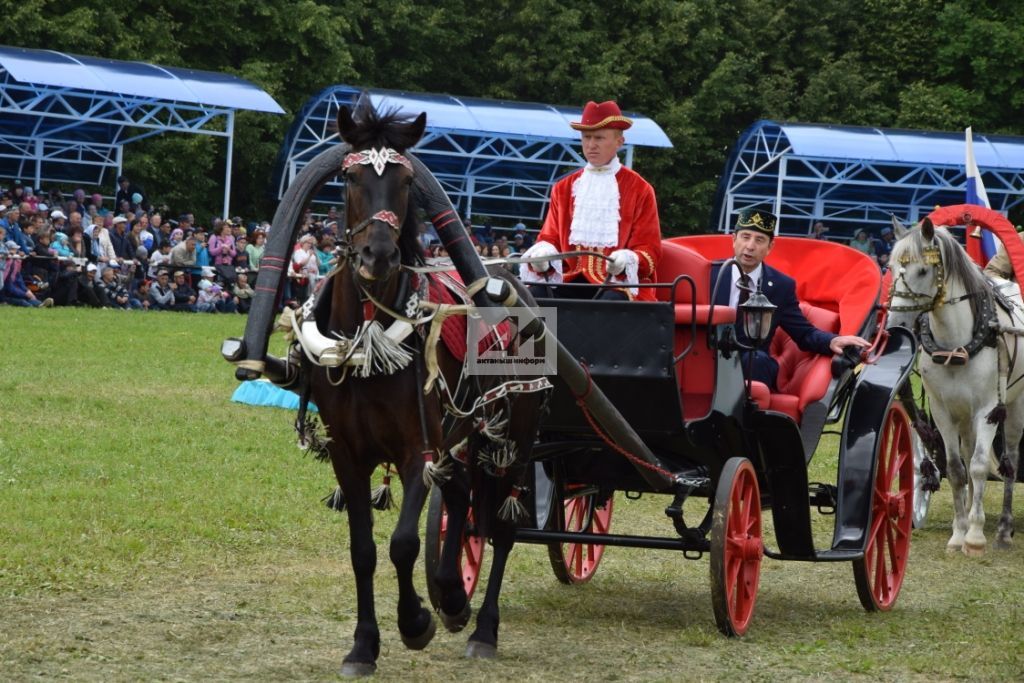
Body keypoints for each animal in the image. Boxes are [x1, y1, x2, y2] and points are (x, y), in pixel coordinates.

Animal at [311, 98, 548, 675]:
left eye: (403, 180)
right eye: (349, 177)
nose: (377, 255)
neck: (371, 332)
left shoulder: (417, 447)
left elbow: (401, 543)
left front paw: (414, 621)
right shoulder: (348, 454)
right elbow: (363, 550)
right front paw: (364, 644)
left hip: (515, 436)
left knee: (502, 527)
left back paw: (482, 627)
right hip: (465, 434)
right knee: (462, 498)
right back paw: (452, 594)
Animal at [888, 219, 1024, 557]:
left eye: (923, 270)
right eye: (891, 266)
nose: (894, 324)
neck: (955, 344)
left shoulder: (988, 409)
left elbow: (978, 466)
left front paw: (975, 537)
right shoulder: (942, 412)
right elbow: (957, 469)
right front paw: (960, 531)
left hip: (1014, 408)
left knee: (1010, 460)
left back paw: (1003, 529)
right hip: (964, 415)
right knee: (967, 453)